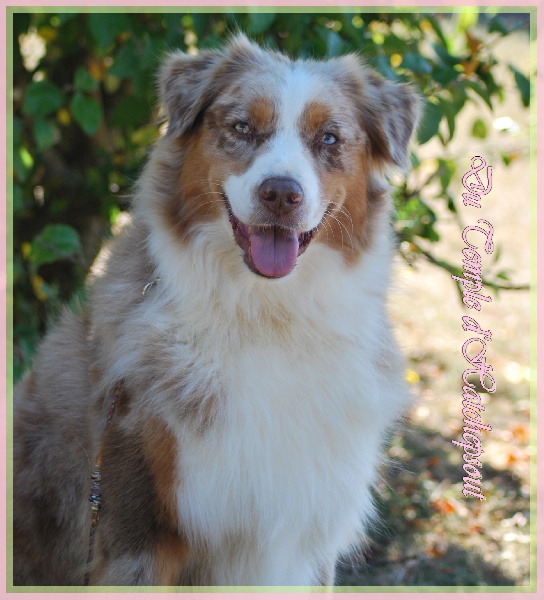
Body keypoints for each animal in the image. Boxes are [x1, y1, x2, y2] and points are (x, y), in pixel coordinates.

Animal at [12, 36, 420, 584]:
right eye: (243, 127)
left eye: (329, 138)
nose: (281, 193)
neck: (266, 315)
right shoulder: (137, 533)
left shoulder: (311, 540)